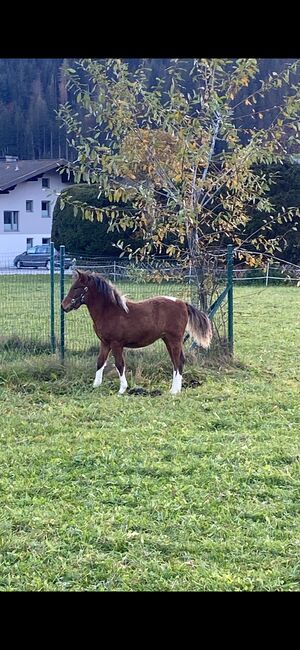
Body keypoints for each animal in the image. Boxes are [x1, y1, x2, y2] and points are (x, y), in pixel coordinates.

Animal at [61, 270, 212, 394]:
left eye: (77, 288)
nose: (63, 306)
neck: (110, 311)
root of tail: (183, 303)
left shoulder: (116, 344)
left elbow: (119, 364)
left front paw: (122, 389)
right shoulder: (105, 343)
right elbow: (100, 362)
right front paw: (95, 386)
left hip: (174, 339)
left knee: (178, 361)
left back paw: (174, 391)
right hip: (168, 340)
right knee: (175, 362)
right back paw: (175, 389)